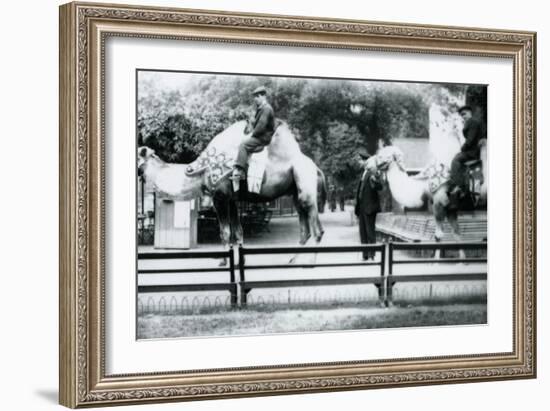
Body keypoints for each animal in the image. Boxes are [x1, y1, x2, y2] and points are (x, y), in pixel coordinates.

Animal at [139, 119, 328, 256]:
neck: (201, 171)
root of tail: (316, 168)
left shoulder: (219, 197)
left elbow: (224, 232)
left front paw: (223, 262)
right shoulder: (232, 199)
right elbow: (238, 233)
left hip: (306, 187)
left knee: (317, 230)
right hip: (296, 193)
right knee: (304, 231)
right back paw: (293, 262)